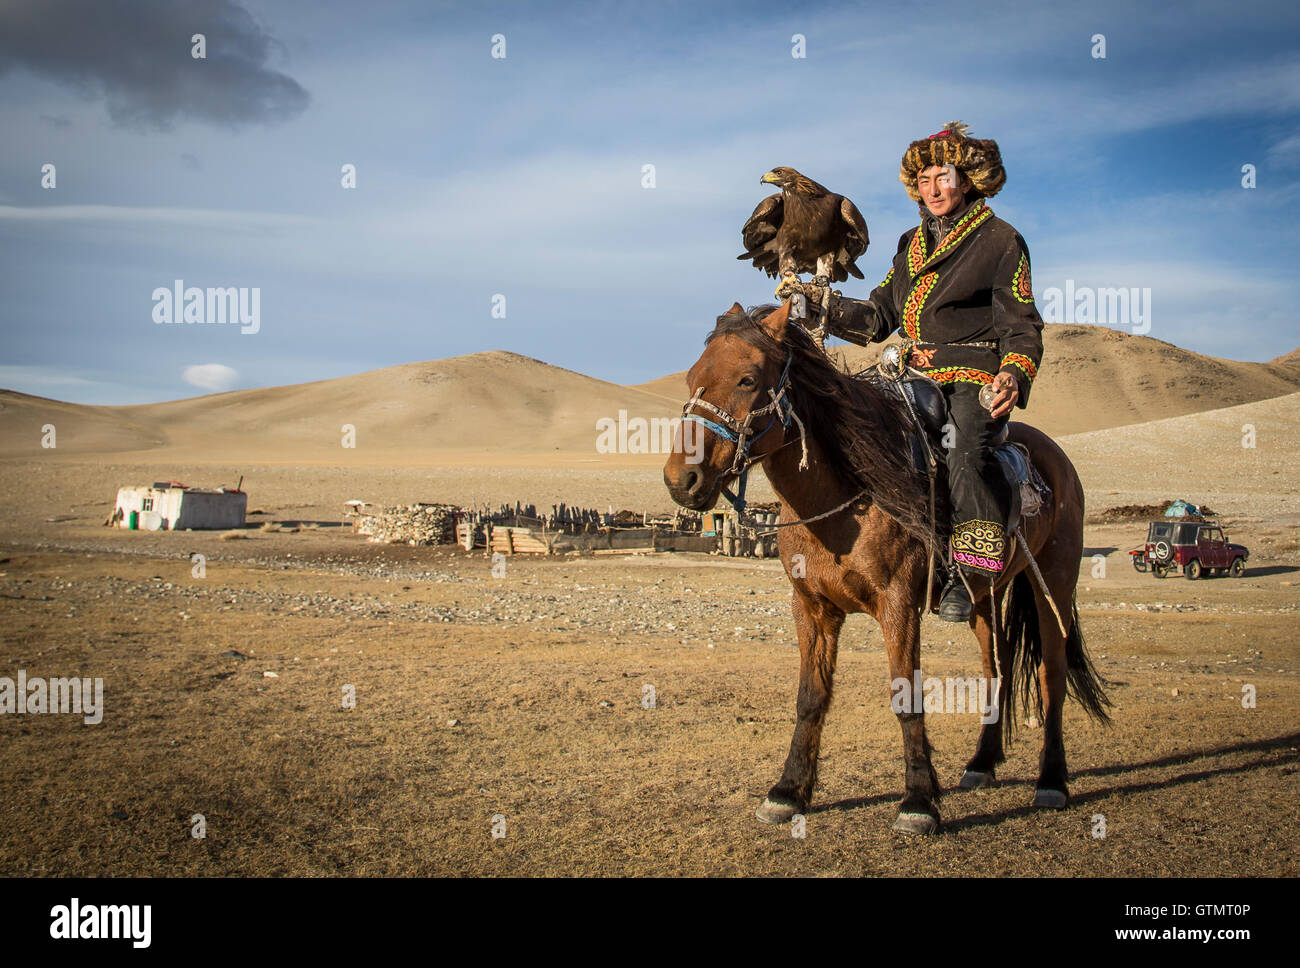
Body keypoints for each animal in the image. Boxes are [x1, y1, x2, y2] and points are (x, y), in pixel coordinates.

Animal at [665, 300, 1112, 831]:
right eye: (693, 377)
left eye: (748, 379)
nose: (681, 479)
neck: (844, 498)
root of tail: (1054, 456)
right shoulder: (811, 608)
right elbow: (810, 698)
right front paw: (788, 791)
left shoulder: (898, 604)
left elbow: (906, 696)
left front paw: (918, 801)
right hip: (986, 594)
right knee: (995, 669)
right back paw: (981, 764)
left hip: (1055, 582)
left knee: (1052, 674)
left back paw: (1052, 781)